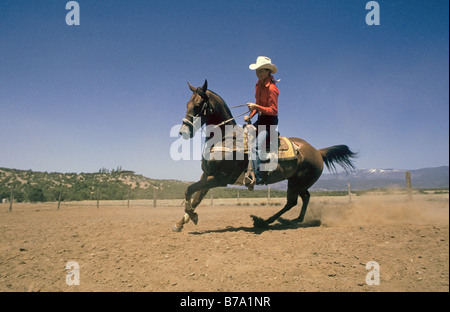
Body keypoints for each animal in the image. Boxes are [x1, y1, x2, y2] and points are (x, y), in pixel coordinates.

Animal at [172, 80, 356, 232]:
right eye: (187, 104)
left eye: (197, 105)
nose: (183, 131)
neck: (226, 137)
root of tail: (317, 151)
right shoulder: (207, 175)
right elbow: (196, 197)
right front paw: (181, 222)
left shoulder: (220, 178)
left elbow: (189, 190)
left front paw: (191, 216)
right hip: (298, 182)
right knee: (304, 198)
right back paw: (292, 220)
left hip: (297, 183)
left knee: (292, 202)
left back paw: (265, 221)